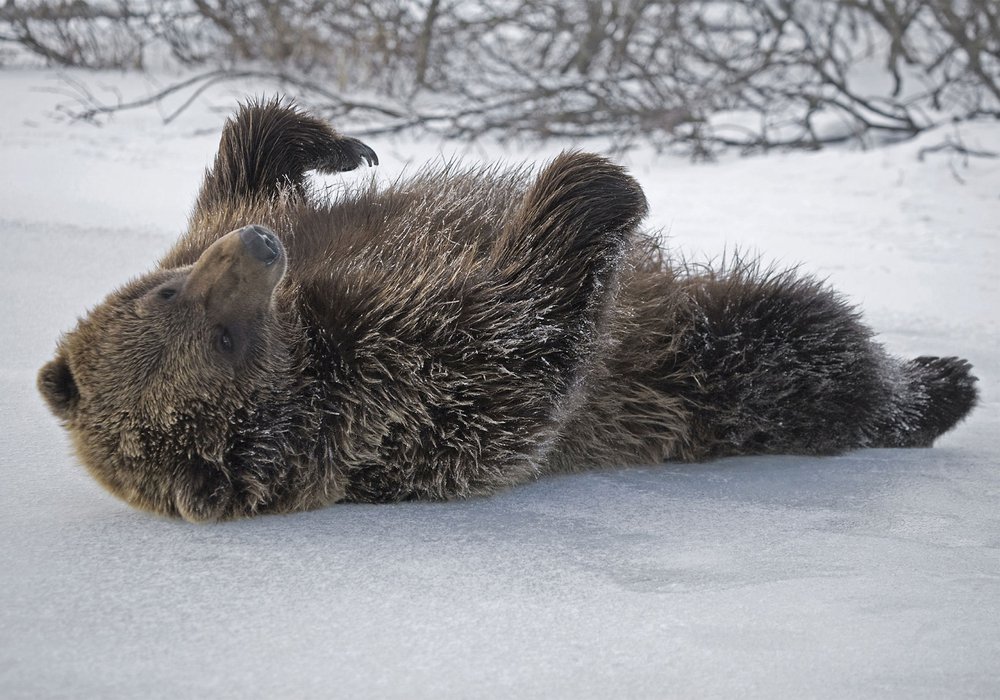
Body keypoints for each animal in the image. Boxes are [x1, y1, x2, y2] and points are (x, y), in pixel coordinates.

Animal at [37, 101, 976, 524]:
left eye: (171, 291)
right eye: (225, 339)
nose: (262, 252)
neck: (308, 319)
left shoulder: (246, 230)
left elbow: (247, 160)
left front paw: (338, 143)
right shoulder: (405, 380)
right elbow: (526, 332)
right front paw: (594, 183)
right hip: (693, 359)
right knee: (802, 346)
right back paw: (936, 385)